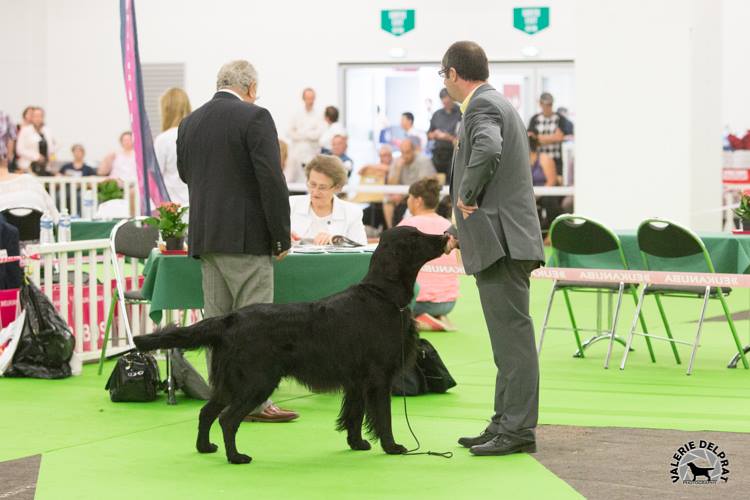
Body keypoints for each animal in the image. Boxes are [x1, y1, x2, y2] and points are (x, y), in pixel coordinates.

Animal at [133, 227, 450, 464]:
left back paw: (206, 448)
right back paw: (236, 457)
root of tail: (230, 319)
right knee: (228, 419)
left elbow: (354, 415)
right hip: (256, 382)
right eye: (416, 236)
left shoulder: (357, 380)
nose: (445, 235)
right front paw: (393, 447)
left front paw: (357, 443)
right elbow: (383, 417)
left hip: (230, 382)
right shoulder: (378, 377)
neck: (383, 295)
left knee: (207, 412)